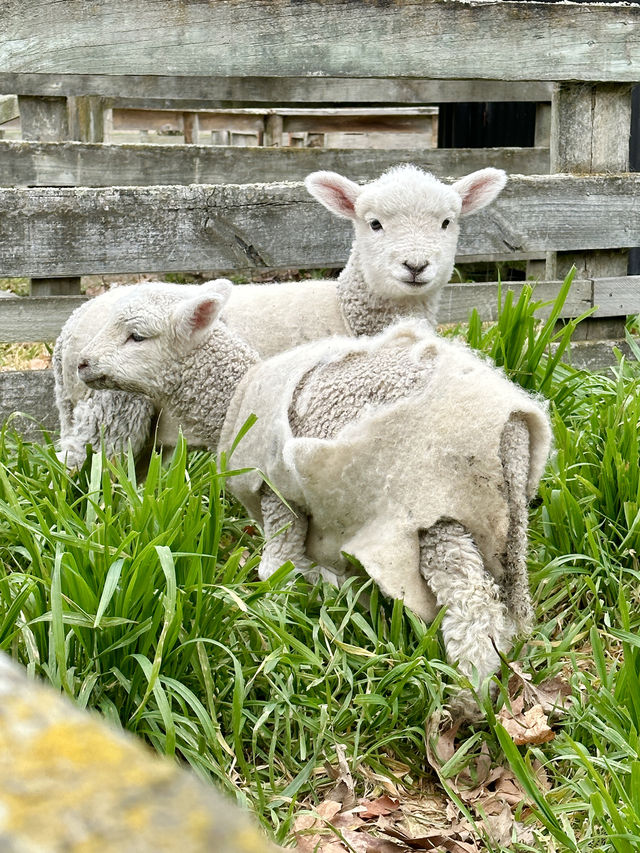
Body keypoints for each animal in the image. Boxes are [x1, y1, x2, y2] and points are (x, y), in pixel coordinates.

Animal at [56, 160, 504, 466]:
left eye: (447, 222)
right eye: (374, 224)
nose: (415, 266)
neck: (346, 308)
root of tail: (68, 330)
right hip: (112, 405)